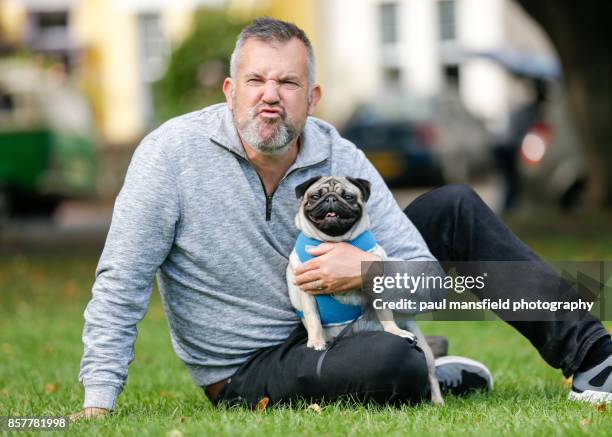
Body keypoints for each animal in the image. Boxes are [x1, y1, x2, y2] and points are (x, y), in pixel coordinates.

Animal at [284, 175, 442, 404]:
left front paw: (393, 331)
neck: (334, 241)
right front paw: (315, 341)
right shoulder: (306, 289)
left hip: (426, 352)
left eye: (349, 196)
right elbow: (313, 318)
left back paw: (437, 402)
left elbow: (385, 313)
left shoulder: (374, 281)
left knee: (431, 374)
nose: (331, 199)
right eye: (315, 196)